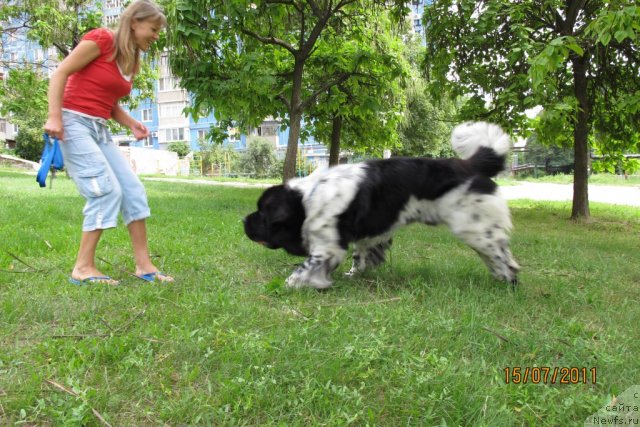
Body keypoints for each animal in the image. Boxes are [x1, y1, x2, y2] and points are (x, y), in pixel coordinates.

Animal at [245, 122, 520, 290]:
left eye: (262, 213)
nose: (243, 221)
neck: (306, 198)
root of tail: (471, 165)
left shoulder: (328, 245)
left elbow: (305, 268)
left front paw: (292, 284)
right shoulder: (368, 235)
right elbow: (361, 256)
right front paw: (355, 274)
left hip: (474, 228)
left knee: (506, 260)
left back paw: (508, 284)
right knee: (495, 256)